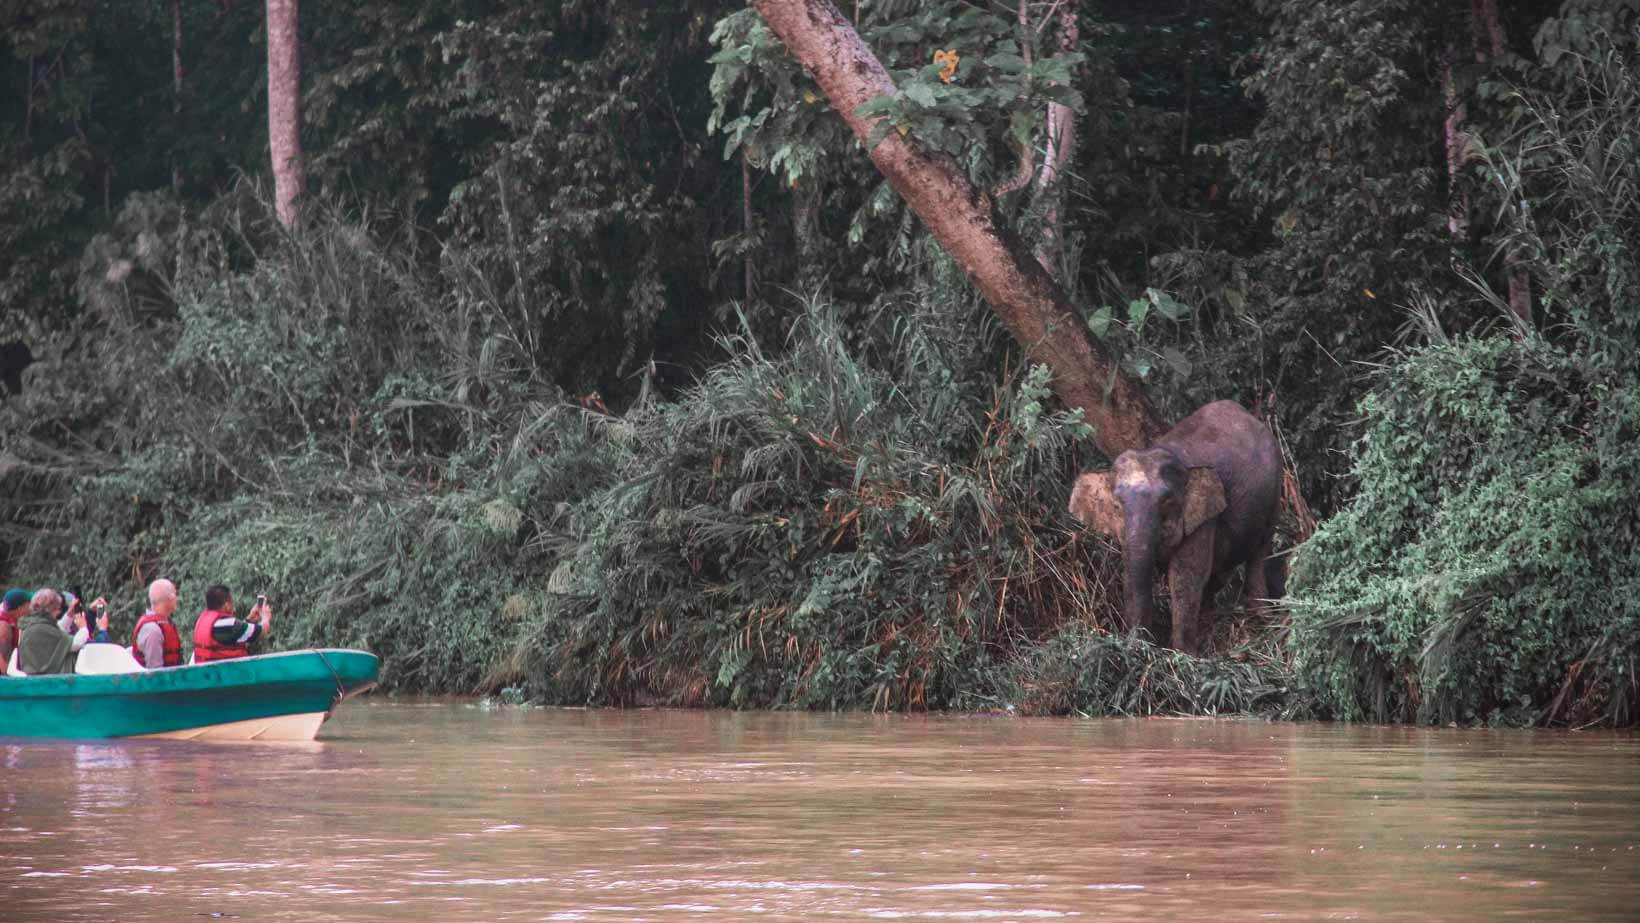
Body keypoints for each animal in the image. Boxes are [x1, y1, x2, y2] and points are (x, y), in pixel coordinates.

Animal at [1069, 401, 1285, 652]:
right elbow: (1132, 572)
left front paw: (1182, 653)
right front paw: (1139, 647)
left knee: (1259, 552)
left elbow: (1185, 577)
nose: (1139, 641)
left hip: (1275, 491)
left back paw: (1262, 619)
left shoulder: (1204, 518)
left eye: (1167, 503)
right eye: (1116, 506)